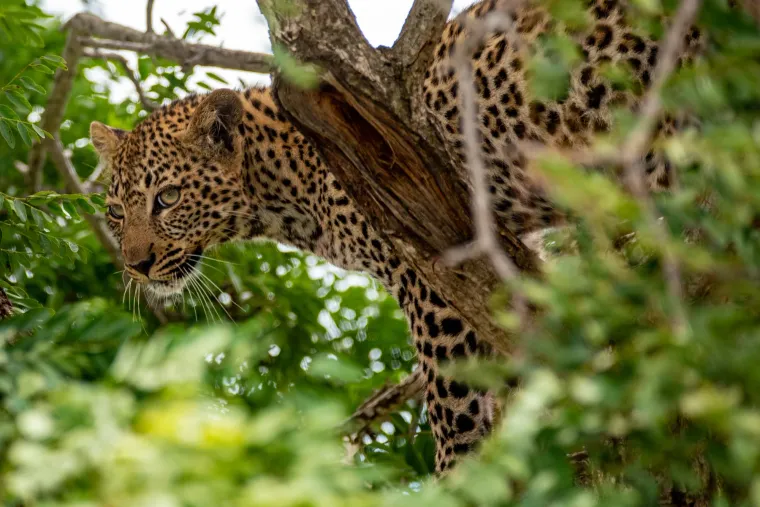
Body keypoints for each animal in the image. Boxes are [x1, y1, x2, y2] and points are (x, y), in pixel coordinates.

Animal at [90, 0, 704, 473]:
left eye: (167, 199)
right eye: (117, 212)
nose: (136, 265)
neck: (282, 187)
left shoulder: (434, 273)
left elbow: (454, 404)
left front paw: (458, 477)